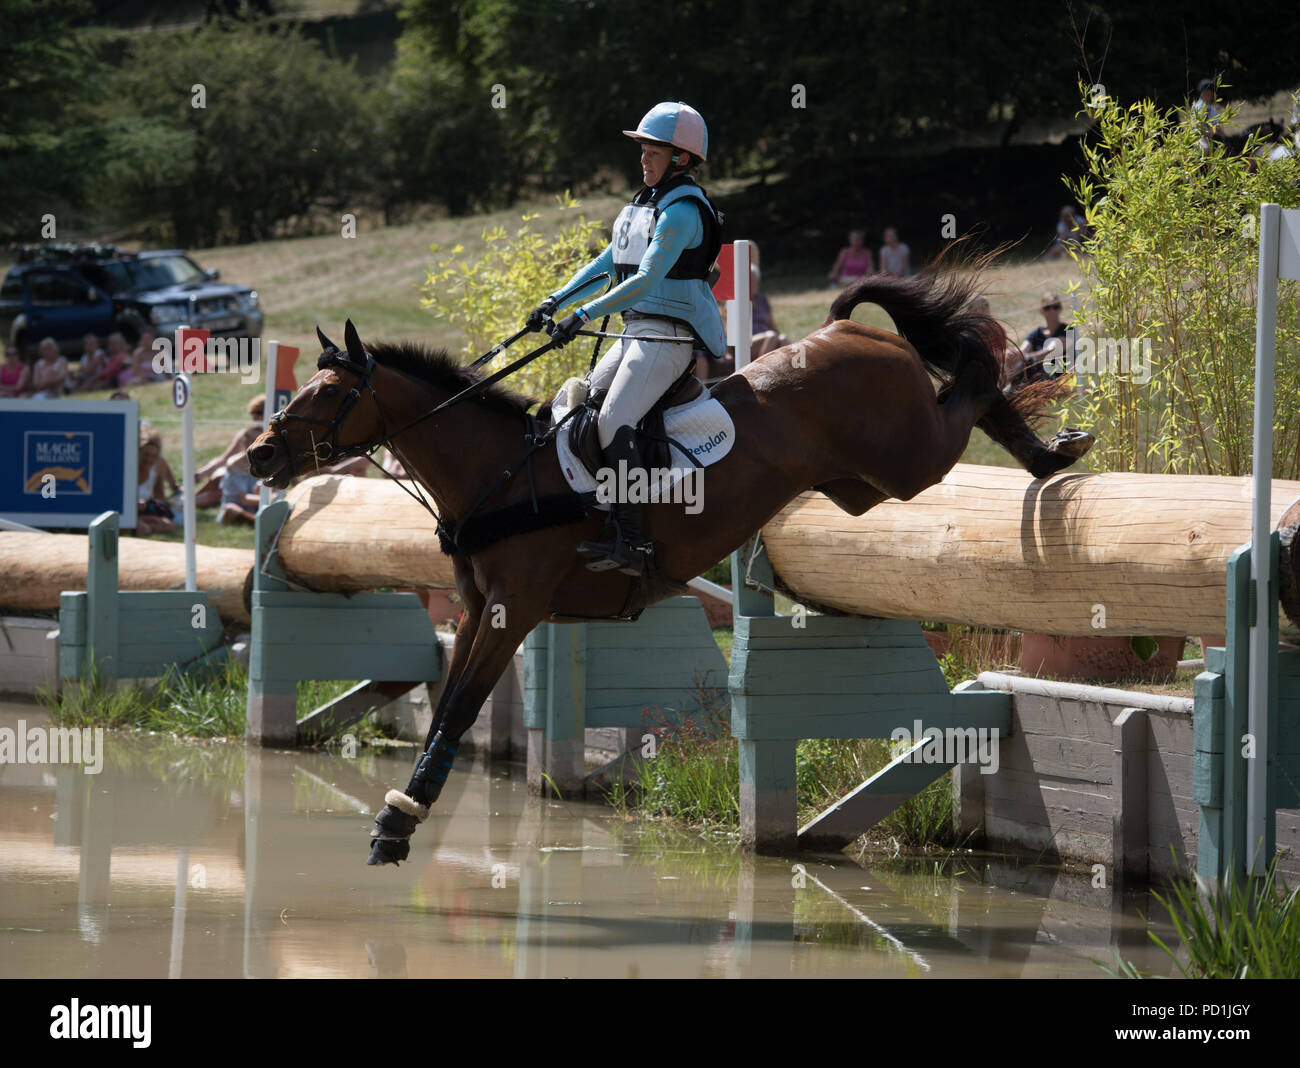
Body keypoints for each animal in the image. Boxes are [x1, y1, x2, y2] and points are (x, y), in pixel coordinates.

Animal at [248, 267, 1092, 867]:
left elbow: (458, 708)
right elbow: (449, 701)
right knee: (959, 397)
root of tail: (841, 329)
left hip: (903, 461)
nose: (259, 454)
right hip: (863, 485)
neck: (500, 473)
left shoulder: (513, 610)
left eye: (328, 393)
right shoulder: (480, 608)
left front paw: (398, 820)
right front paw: (403, 812)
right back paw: (1048, 450)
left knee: (970, 381)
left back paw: (1046, 437)